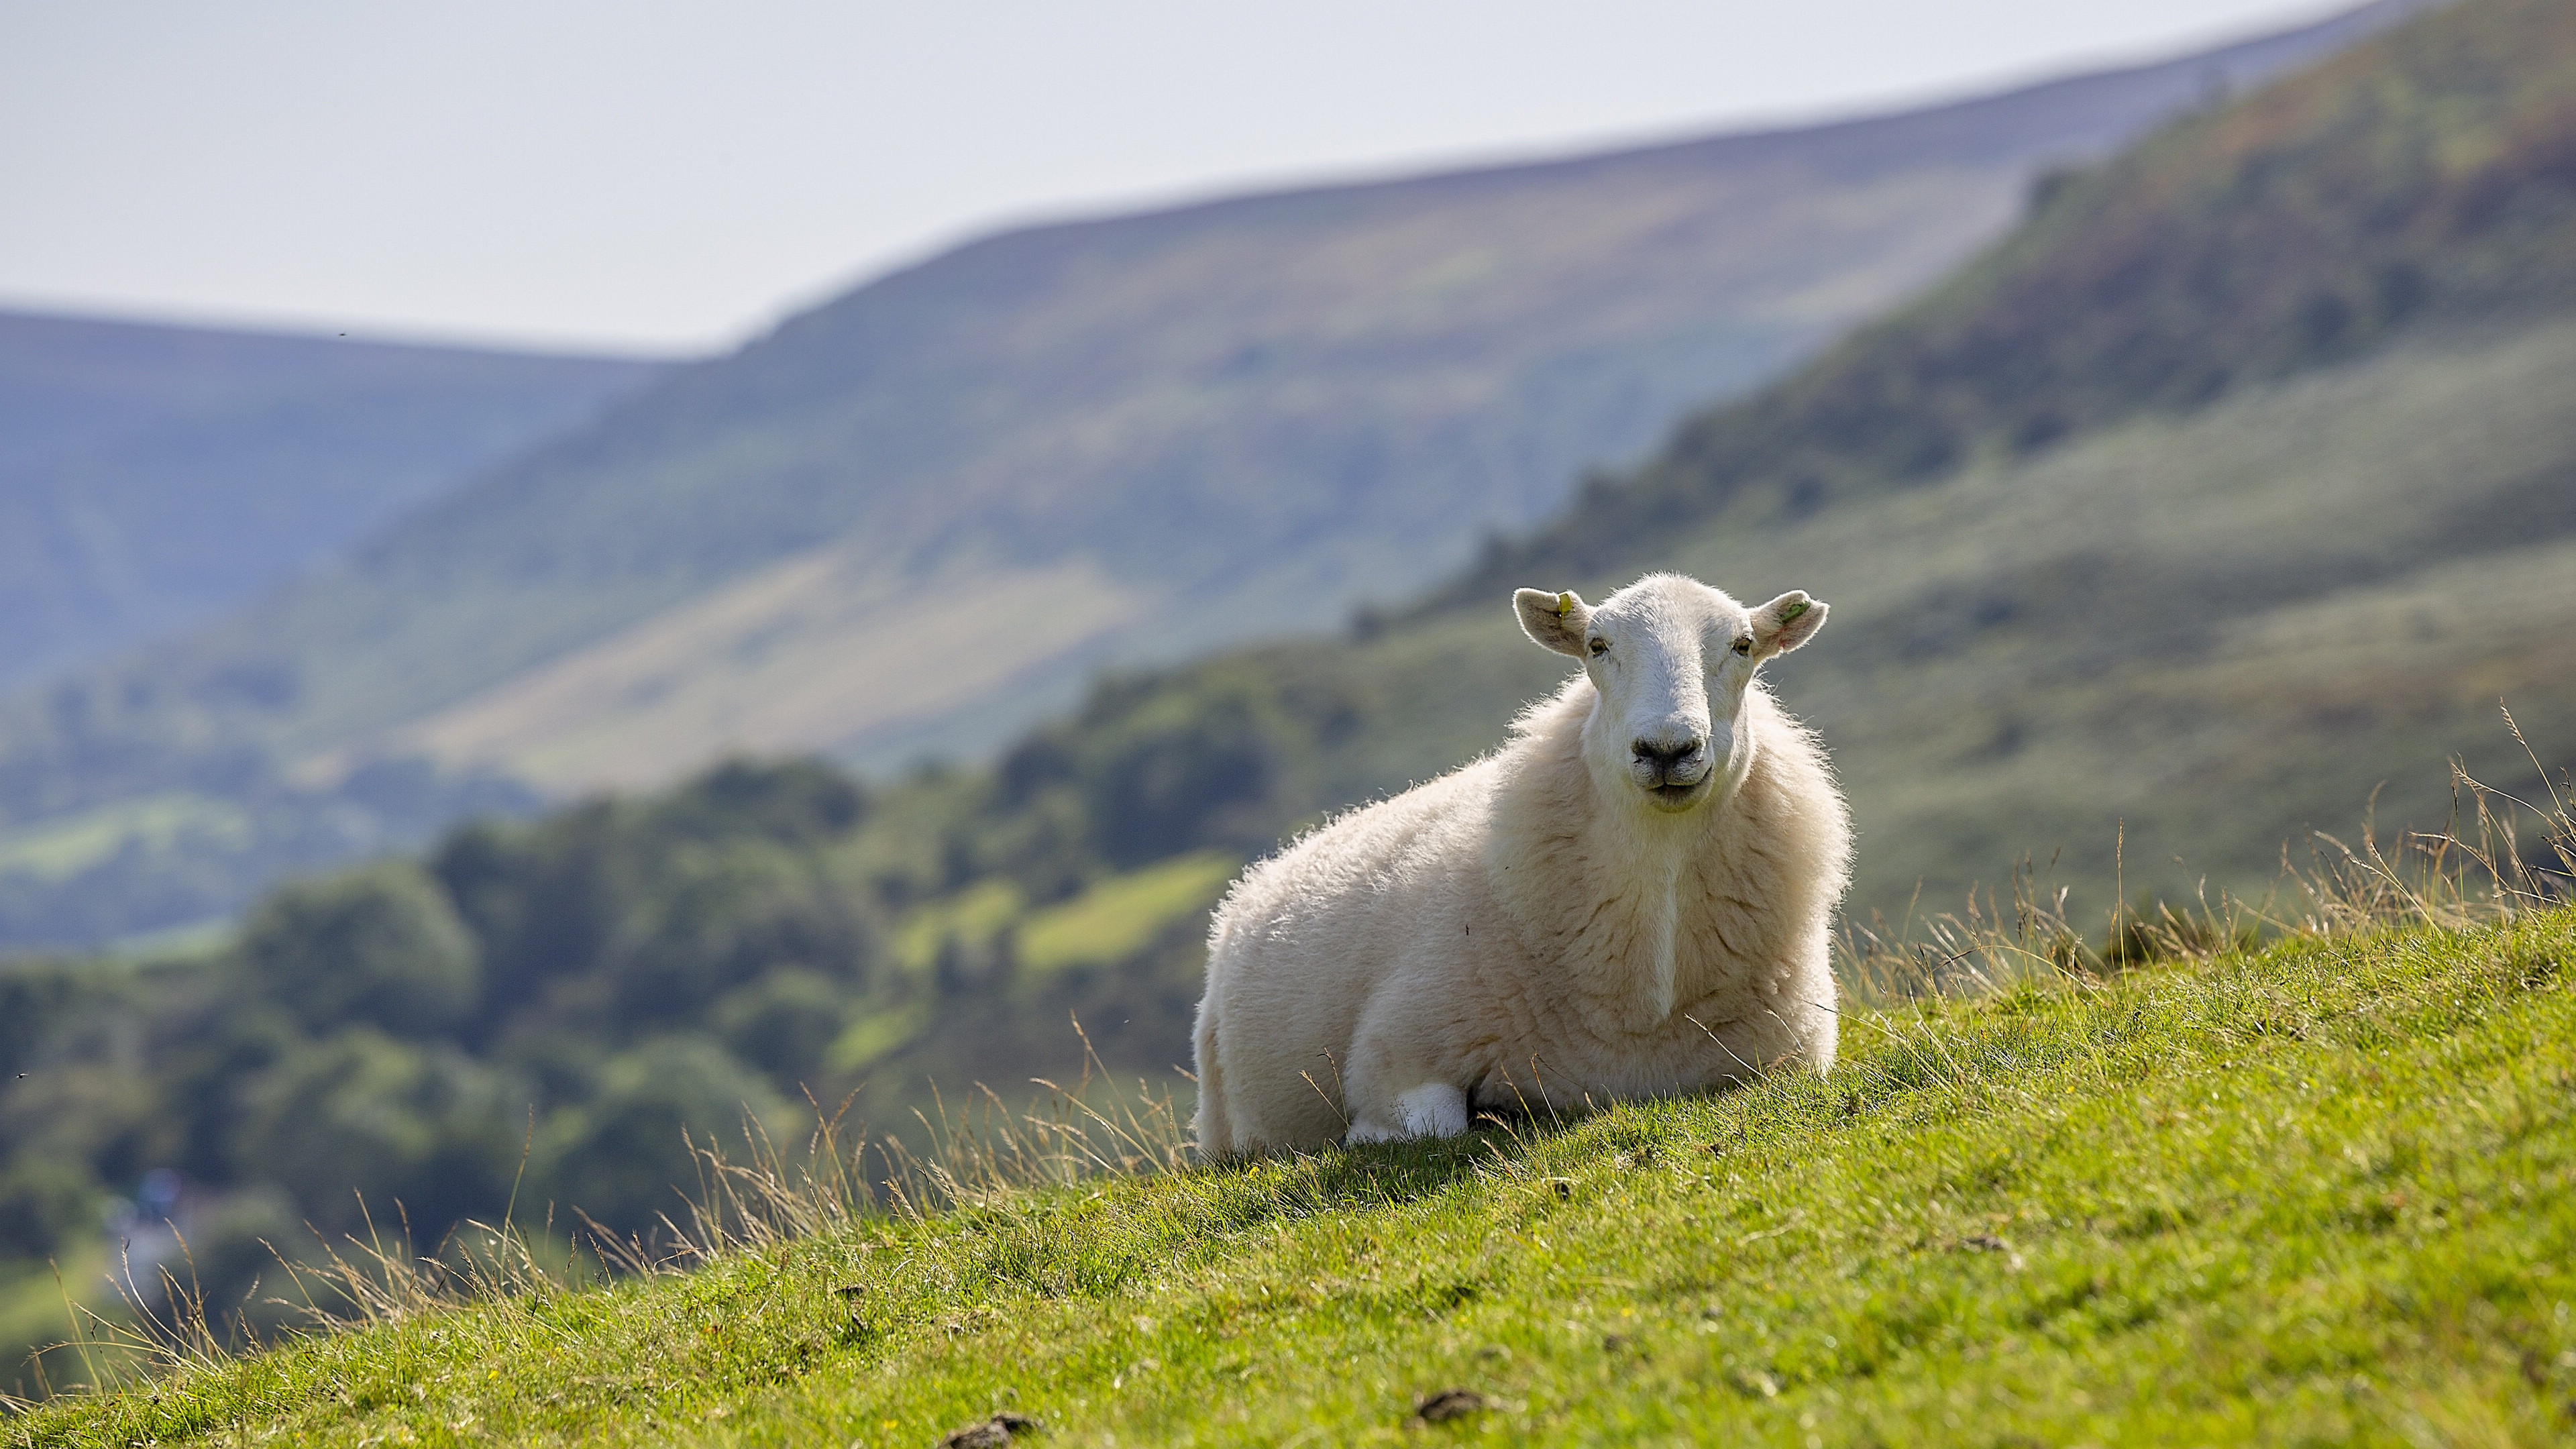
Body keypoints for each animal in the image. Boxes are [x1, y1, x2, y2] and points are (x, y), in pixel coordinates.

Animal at [1185, 572, 1854, 1150]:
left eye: (1743, 646)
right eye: (1596, 646)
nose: (1668, 749)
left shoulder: (1794, 1059)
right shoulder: (1396, 1055)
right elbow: (1432, 1126)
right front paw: (1373, 1136)